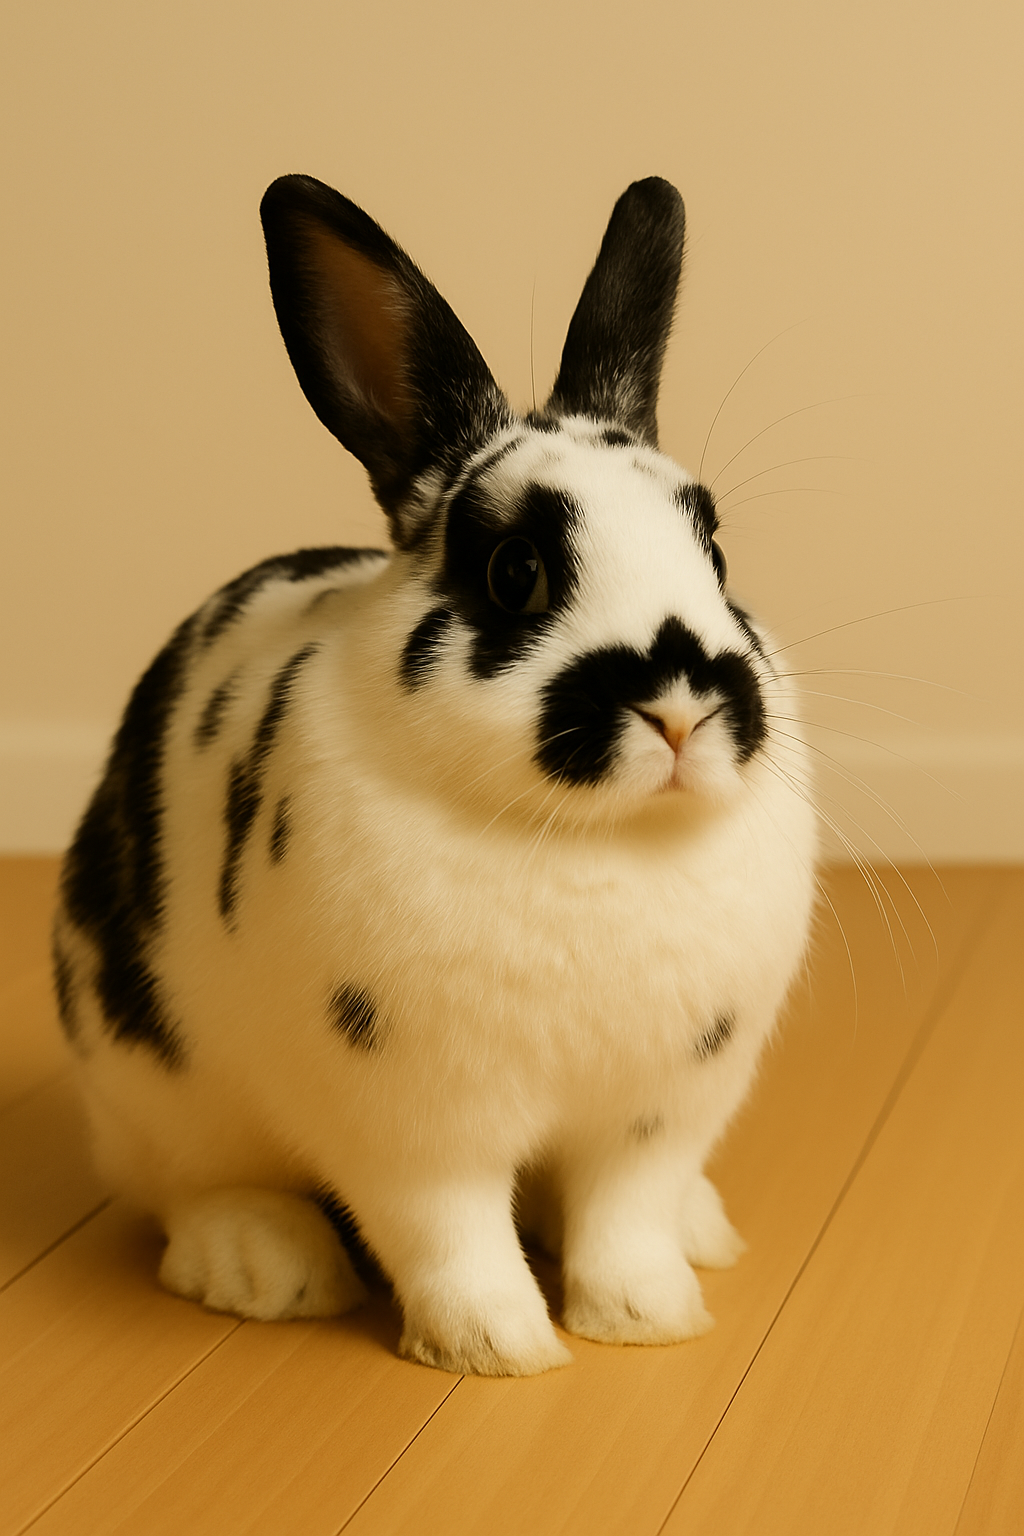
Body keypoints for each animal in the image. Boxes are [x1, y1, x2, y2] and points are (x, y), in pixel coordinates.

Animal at [52, 173, 817, 1377]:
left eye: (716, 551)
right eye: (514, 572)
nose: (683, 704)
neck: (592, 840)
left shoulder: (656, 1110)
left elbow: (625, 1215)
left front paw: (648, 1316)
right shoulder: (416, 1123)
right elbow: (448, 1232)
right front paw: (496, 1348)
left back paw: (705, 1231)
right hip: (152, 1088)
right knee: (187, 1190)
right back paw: (264, 1265)